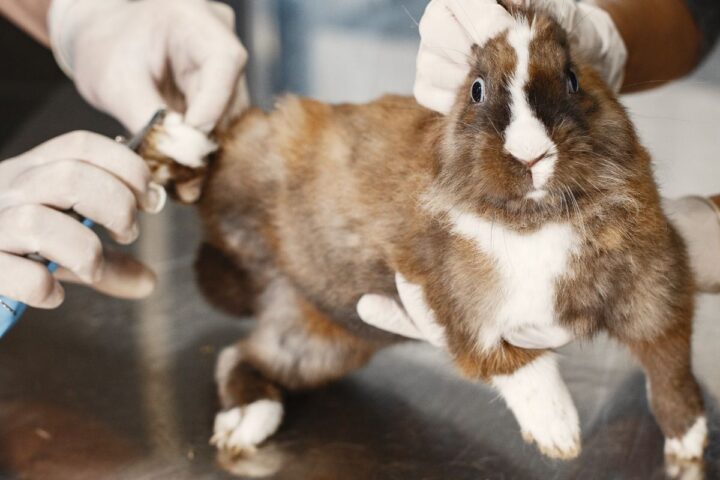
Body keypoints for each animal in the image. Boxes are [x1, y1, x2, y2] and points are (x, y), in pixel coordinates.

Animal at [140, 6, 706, 462]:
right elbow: (518, 365)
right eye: (476, 90)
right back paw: (176, 139)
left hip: (322, 340)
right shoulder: (458, 307)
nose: (531, 155)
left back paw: (245, 423)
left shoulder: (656, 288)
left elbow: (669, 364)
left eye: (572, 80)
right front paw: (559, 433)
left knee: (242, 357)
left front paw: (689, 440)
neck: (536, 221)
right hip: (248, 167)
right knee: (207, 168)